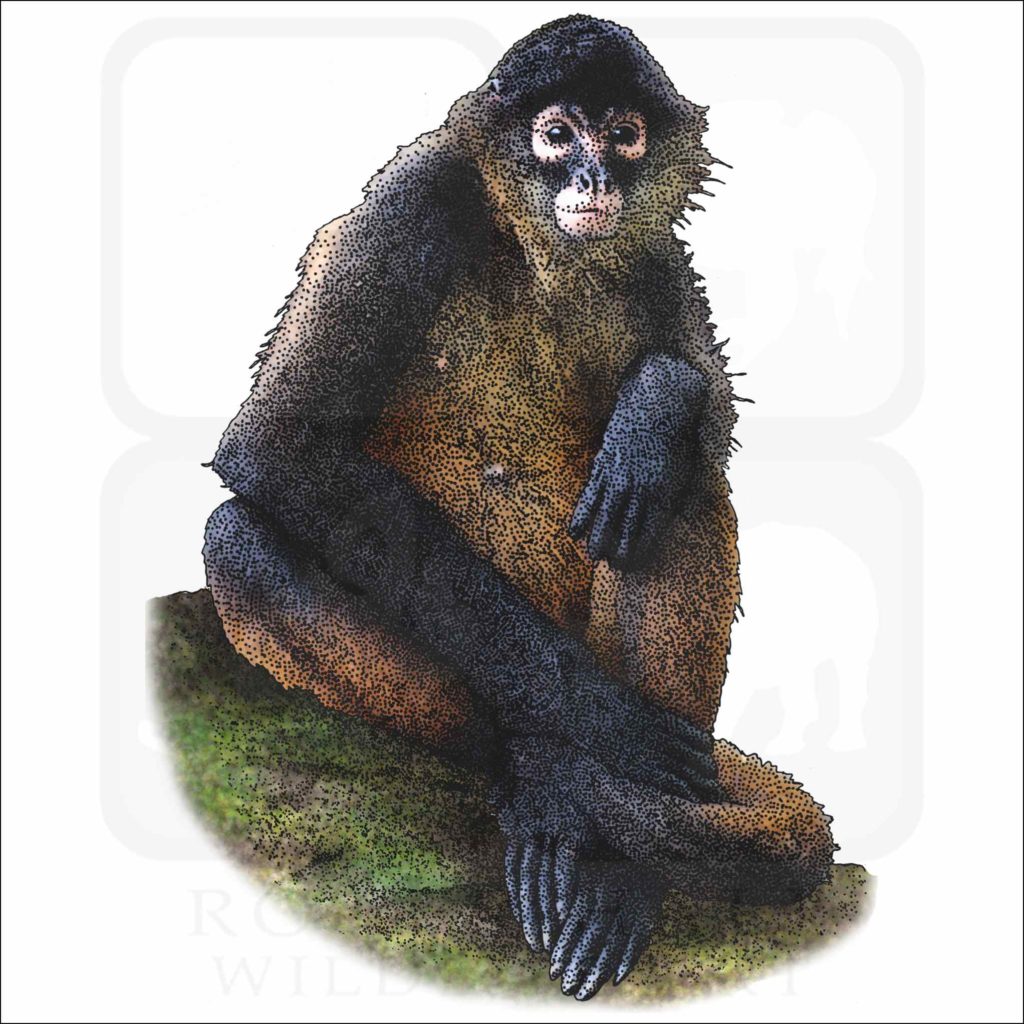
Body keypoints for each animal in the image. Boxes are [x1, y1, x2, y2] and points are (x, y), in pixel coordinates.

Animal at [202, 16, 835, 1000]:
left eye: (625, 135)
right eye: (557, 134)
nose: (596, 180)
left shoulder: (645, 242)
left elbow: (707, 418)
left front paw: (655, 402)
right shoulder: (418, 193)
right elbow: (279, 446)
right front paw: (610, 726)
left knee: (675, 485)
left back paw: (621, 863)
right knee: (239, 540)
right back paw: (544, 772)